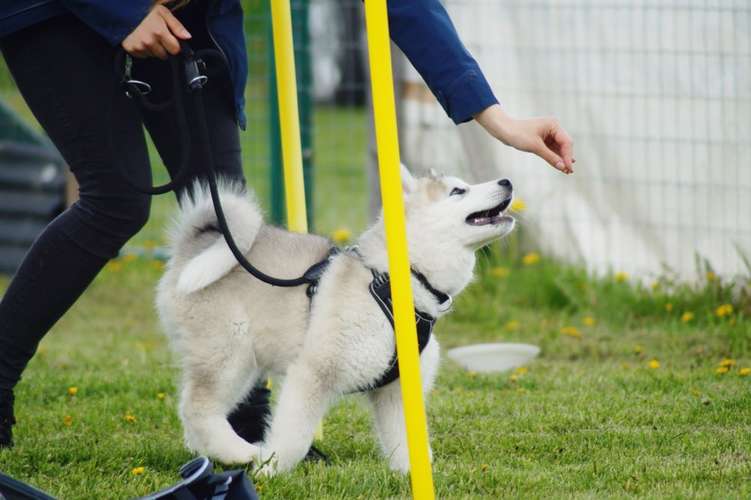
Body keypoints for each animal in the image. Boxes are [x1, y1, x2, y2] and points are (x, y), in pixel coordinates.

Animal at [153, 166, 516, 474]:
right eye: (458, 190)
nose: (507, 181)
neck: (392, 282)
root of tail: (194, 247)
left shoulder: (396, 392)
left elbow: (407, 442)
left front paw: (414, 475)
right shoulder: (312, 373)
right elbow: (293, 438)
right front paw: (269, 470)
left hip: (244, 367)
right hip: (228, 356)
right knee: (196, 408)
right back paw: (241, 453)